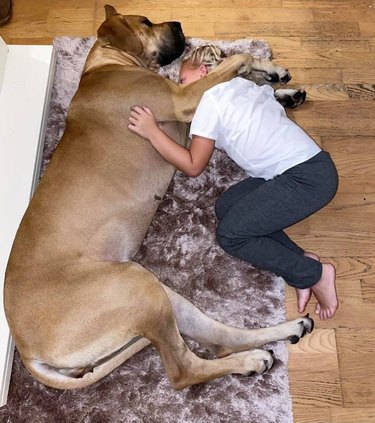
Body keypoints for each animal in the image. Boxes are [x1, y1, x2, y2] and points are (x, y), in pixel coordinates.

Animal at [3, 5, 314, 390]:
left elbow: (238, 74)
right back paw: (249, 359)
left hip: (159, 294)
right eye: (146, 22)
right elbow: (234, 61)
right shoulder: (182, 102)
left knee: (218, 338)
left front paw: (276, 81)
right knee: (183, 369)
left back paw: (274, 341)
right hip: (138, 287)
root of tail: (26, 351)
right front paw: (261, 72)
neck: (106, 64)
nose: (180, 24)